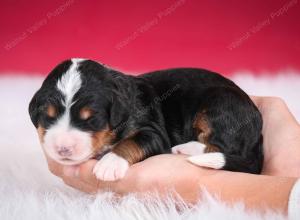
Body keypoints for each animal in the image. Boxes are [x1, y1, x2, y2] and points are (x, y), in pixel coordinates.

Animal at [28, 58, 262, 180]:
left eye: (91, 119)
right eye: (48, 117)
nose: (63, 149)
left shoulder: (153, 131)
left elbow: (133, 141)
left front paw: (110, 163)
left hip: (222, 105)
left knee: (223, 145)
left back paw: (185, 149)